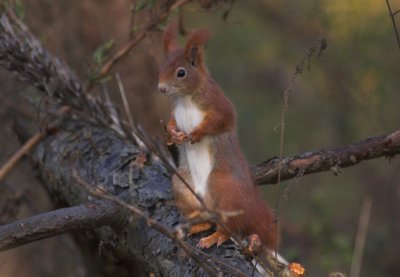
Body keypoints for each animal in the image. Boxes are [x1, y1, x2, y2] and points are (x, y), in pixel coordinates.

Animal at [158, 21, 276, 249]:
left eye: (181, 73)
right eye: (161, 67)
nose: (161, 88)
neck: (185, 98)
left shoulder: (219, 104)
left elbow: (221, 120)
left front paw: (196, 133)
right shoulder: (174, 111)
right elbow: (171, 122)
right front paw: (173, 133)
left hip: (223, 189)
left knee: (228, 229)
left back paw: (214, 237)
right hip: (182, 185)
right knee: (208, 220)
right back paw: (197, 226)